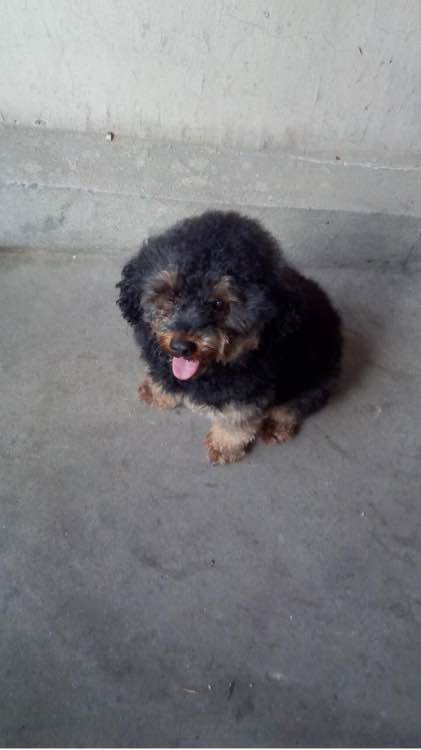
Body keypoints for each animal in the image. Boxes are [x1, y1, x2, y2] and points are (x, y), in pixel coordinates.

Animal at [117, 211, 342, 464]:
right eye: (172, 294)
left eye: (219, 303)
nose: (182, 347)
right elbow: (165, 378)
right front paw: (157, 392)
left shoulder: (246, 395)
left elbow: (236, 422)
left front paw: (224, 447)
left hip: (314, 379)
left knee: (295, 405)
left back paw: (275, 424)